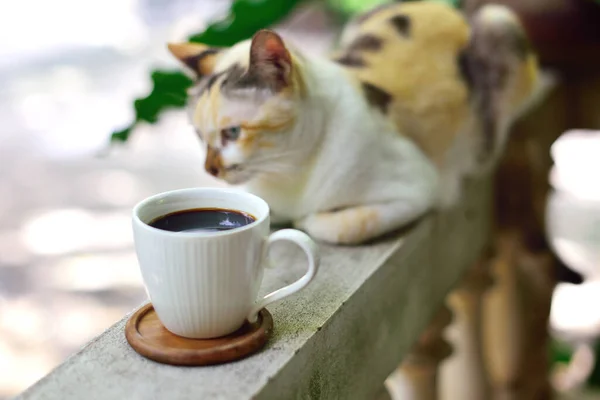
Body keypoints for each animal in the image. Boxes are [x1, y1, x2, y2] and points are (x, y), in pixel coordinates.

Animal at [168, 1, 540, 245]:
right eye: (198, 136)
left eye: (232, 132)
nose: (210, 169)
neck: (288, 173)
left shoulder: (416, 189)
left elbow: (332, 226)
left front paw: (307, 218)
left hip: (498, 21)